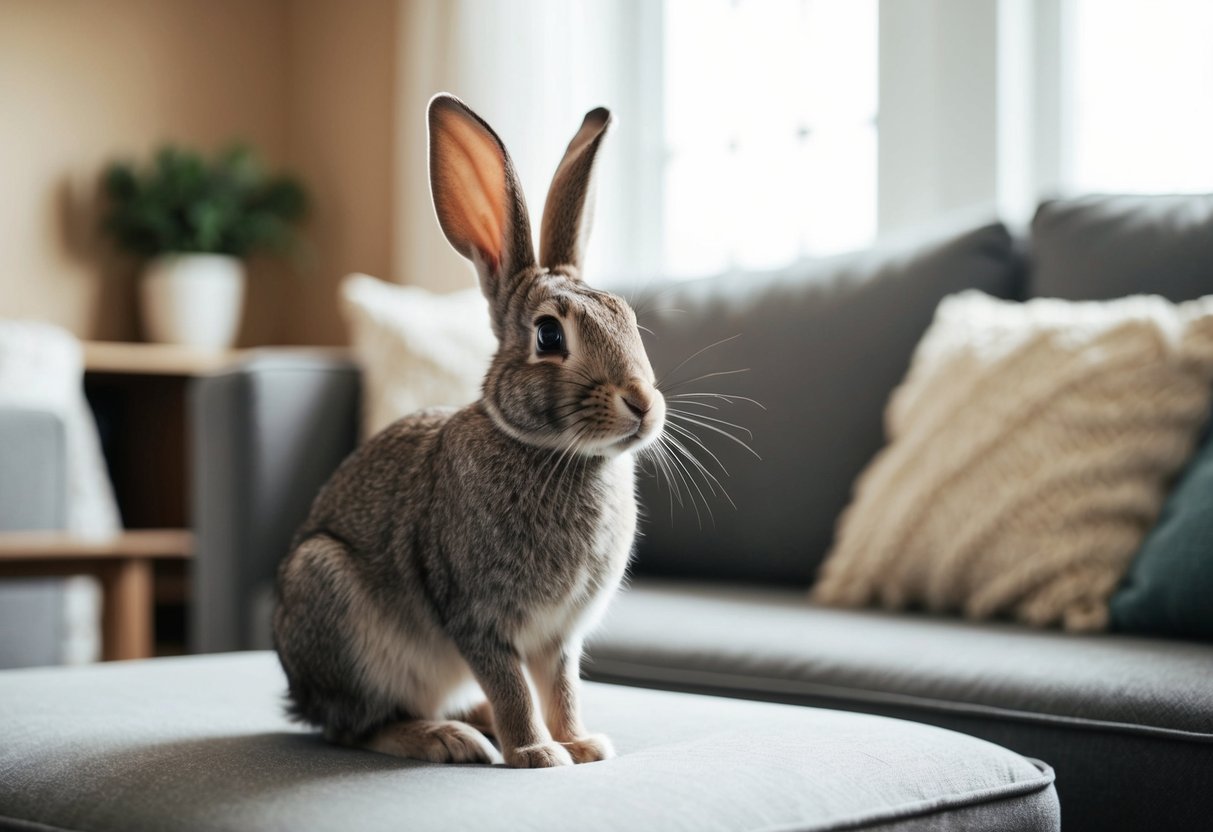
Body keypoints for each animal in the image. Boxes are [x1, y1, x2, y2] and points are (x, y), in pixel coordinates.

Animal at [273, 93, 666, 769]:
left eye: (630, 320)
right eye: (549, 335)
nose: (643, 403)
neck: (551, 451)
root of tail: (298, 694)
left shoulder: (560, 636)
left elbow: (561, 687)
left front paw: (581, 744)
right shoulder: (479, 619)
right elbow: (513, 688)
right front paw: (537, 753)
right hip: (333, 603)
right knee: (355, 726)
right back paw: (447, 739)